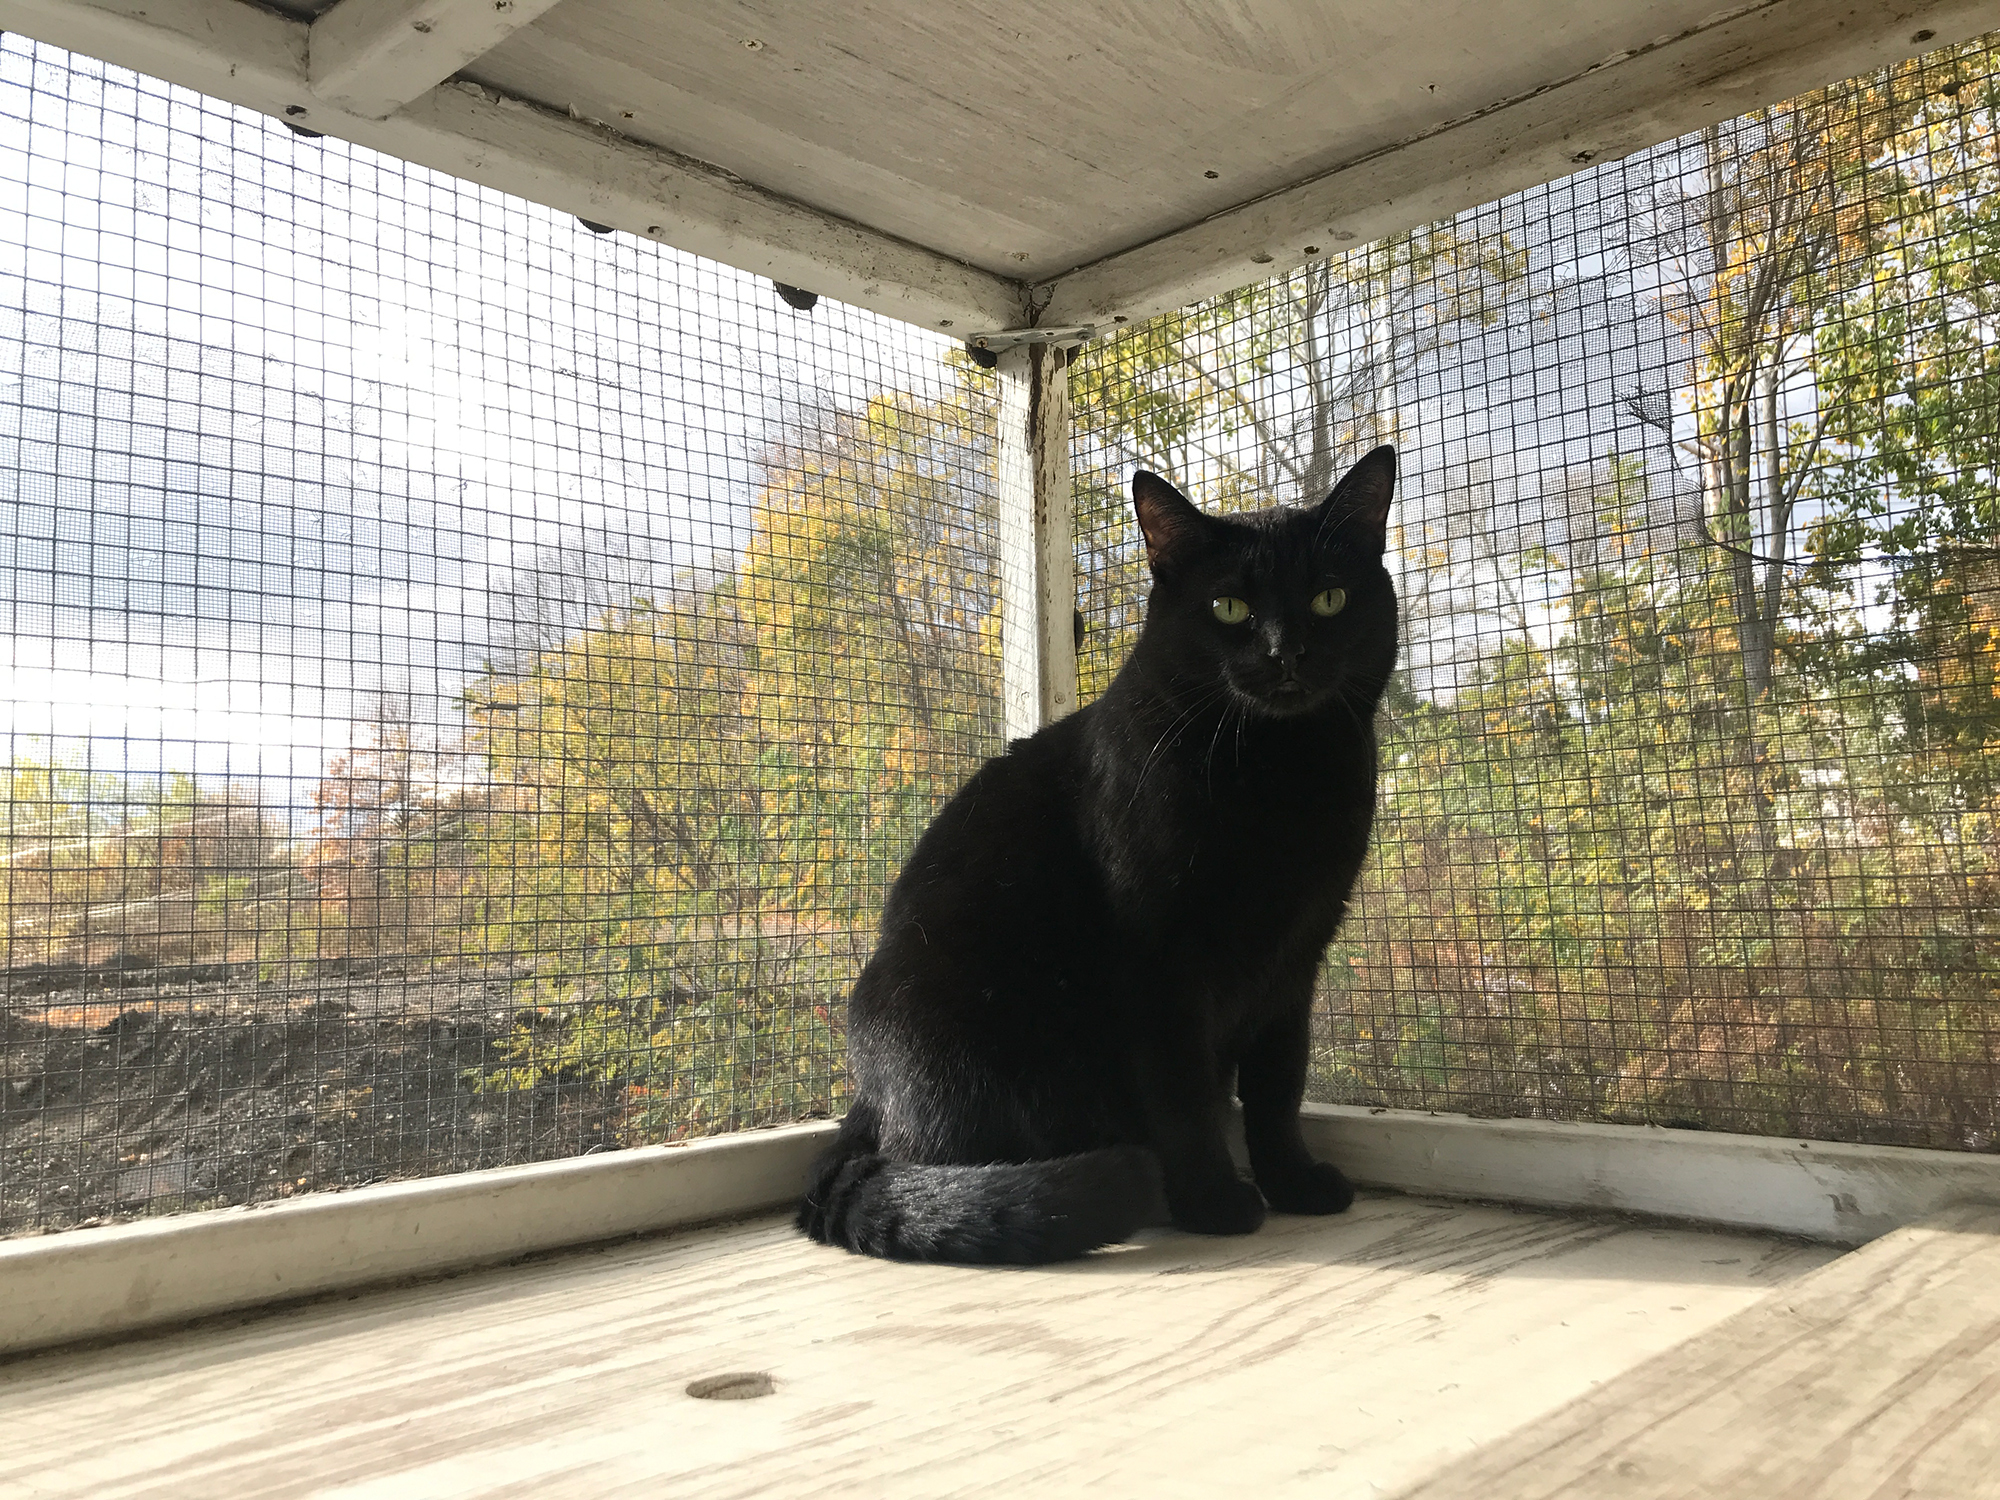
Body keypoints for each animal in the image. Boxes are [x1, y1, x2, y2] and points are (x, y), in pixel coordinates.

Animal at [792, 450, 1392, 1272]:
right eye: (1228, 607)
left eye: (1329, 598)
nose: (1285, 652)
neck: (1277, 773)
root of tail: (869, 1101)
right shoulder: (1160, 966)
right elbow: (1184, 1095)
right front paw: (1213, 1201)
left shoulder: (1296, 961)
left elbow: (1279, 1088)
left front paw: (1294, 1183)